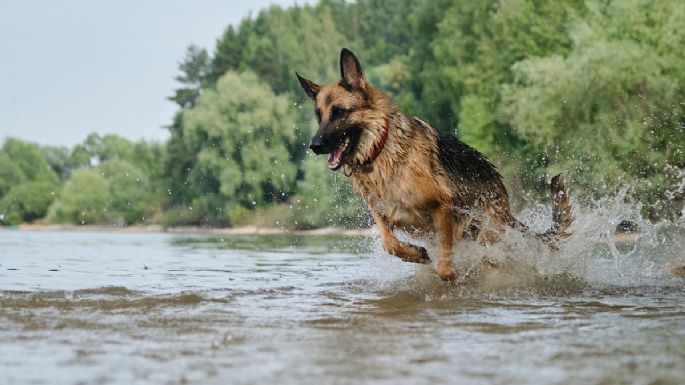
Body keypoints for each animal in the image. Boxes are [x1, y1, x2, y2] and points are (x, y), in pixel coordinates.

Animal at [296, 49, 572, 280]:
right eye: (319, 116)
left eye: (339, 112)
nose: (314, 145)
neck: (381, 149)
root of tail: (504, 202)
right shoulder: (384, 214)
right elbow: (388, 243)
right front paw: (414, 254)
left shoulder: (443, 209)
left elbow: (445, 266)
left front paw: (451, 274)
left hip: (489, 233)